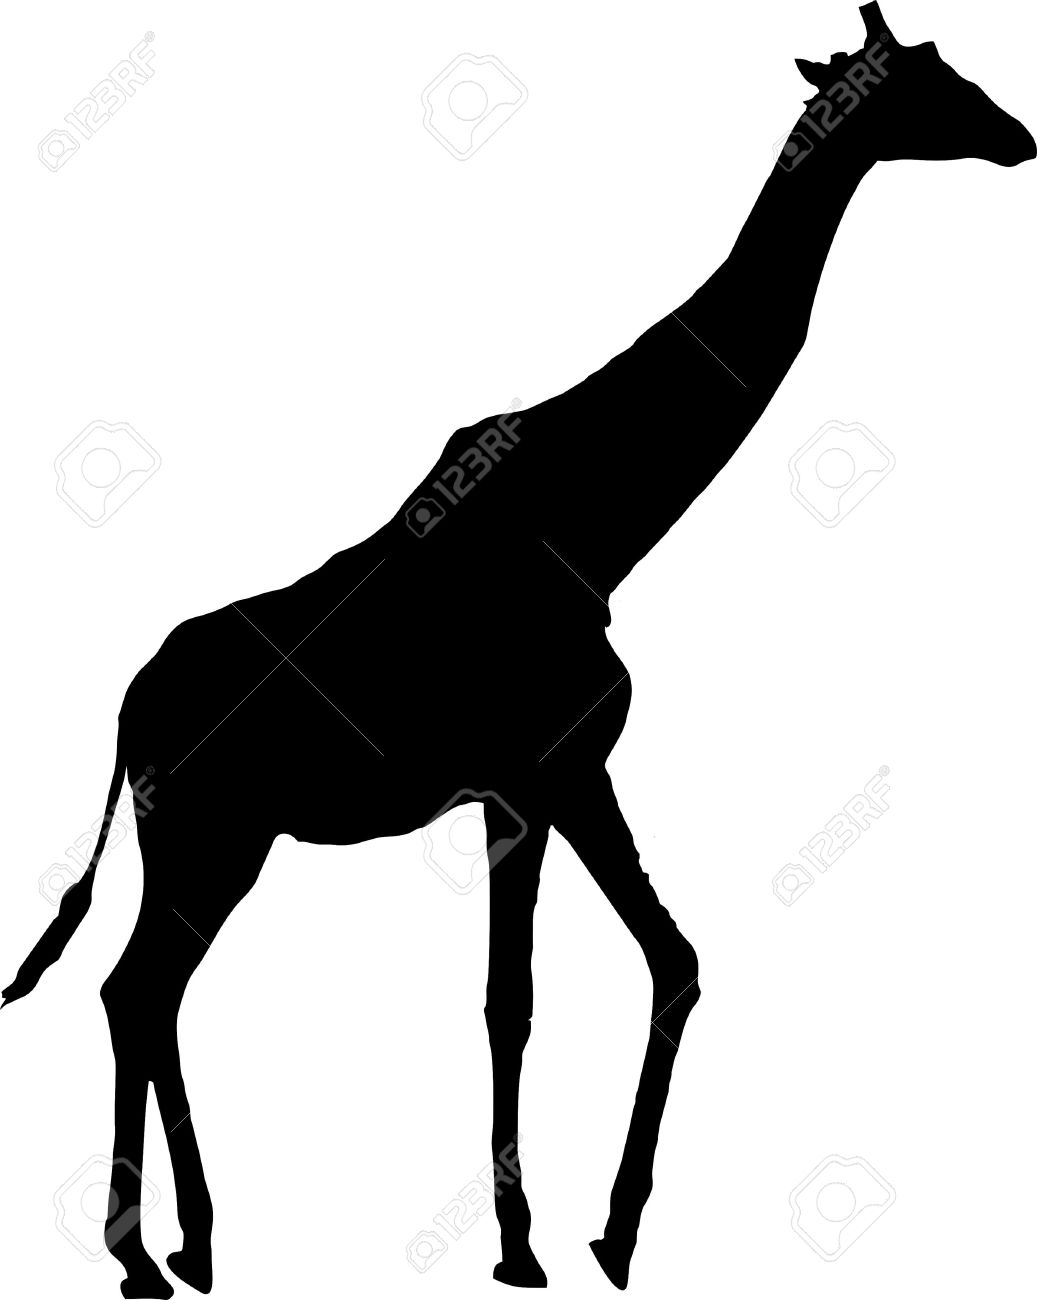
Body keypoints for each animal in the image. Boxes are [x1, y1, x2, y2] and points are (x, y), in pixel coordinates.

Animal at [4, 5, 1032, 1296]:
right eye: (924, 80)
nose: (1017, 135)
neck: (601, 523)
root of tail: (126, 710)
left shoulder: (558, 773)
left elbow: (657, 961)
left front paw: (602, 1232)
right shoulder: (533, 775)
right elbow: (519, 997)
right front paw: (534, 1240)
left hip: (205, 838)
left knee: (142, 992)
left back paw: (192, 1243)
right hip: (210, 833)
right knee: (135, 990)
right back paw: (147, 1252)